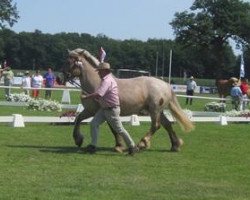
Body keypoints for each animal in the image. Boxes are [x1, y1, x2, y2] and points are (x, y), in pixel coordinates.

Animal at [64, 48, 193, 152]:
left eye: (70, 62)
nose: (62, 76)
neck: (97, 83)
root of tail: (166, 85)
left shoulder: (96, 110)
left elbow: (112, 129)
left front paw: (118, 146)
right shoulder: (92, 110)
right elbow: (78, 118)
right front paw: (79, 140)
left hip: (155, 110)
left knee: (156, 126)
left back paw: (142, 144)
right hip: (158, 111)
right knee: (167, 125)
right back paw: (175, 145)